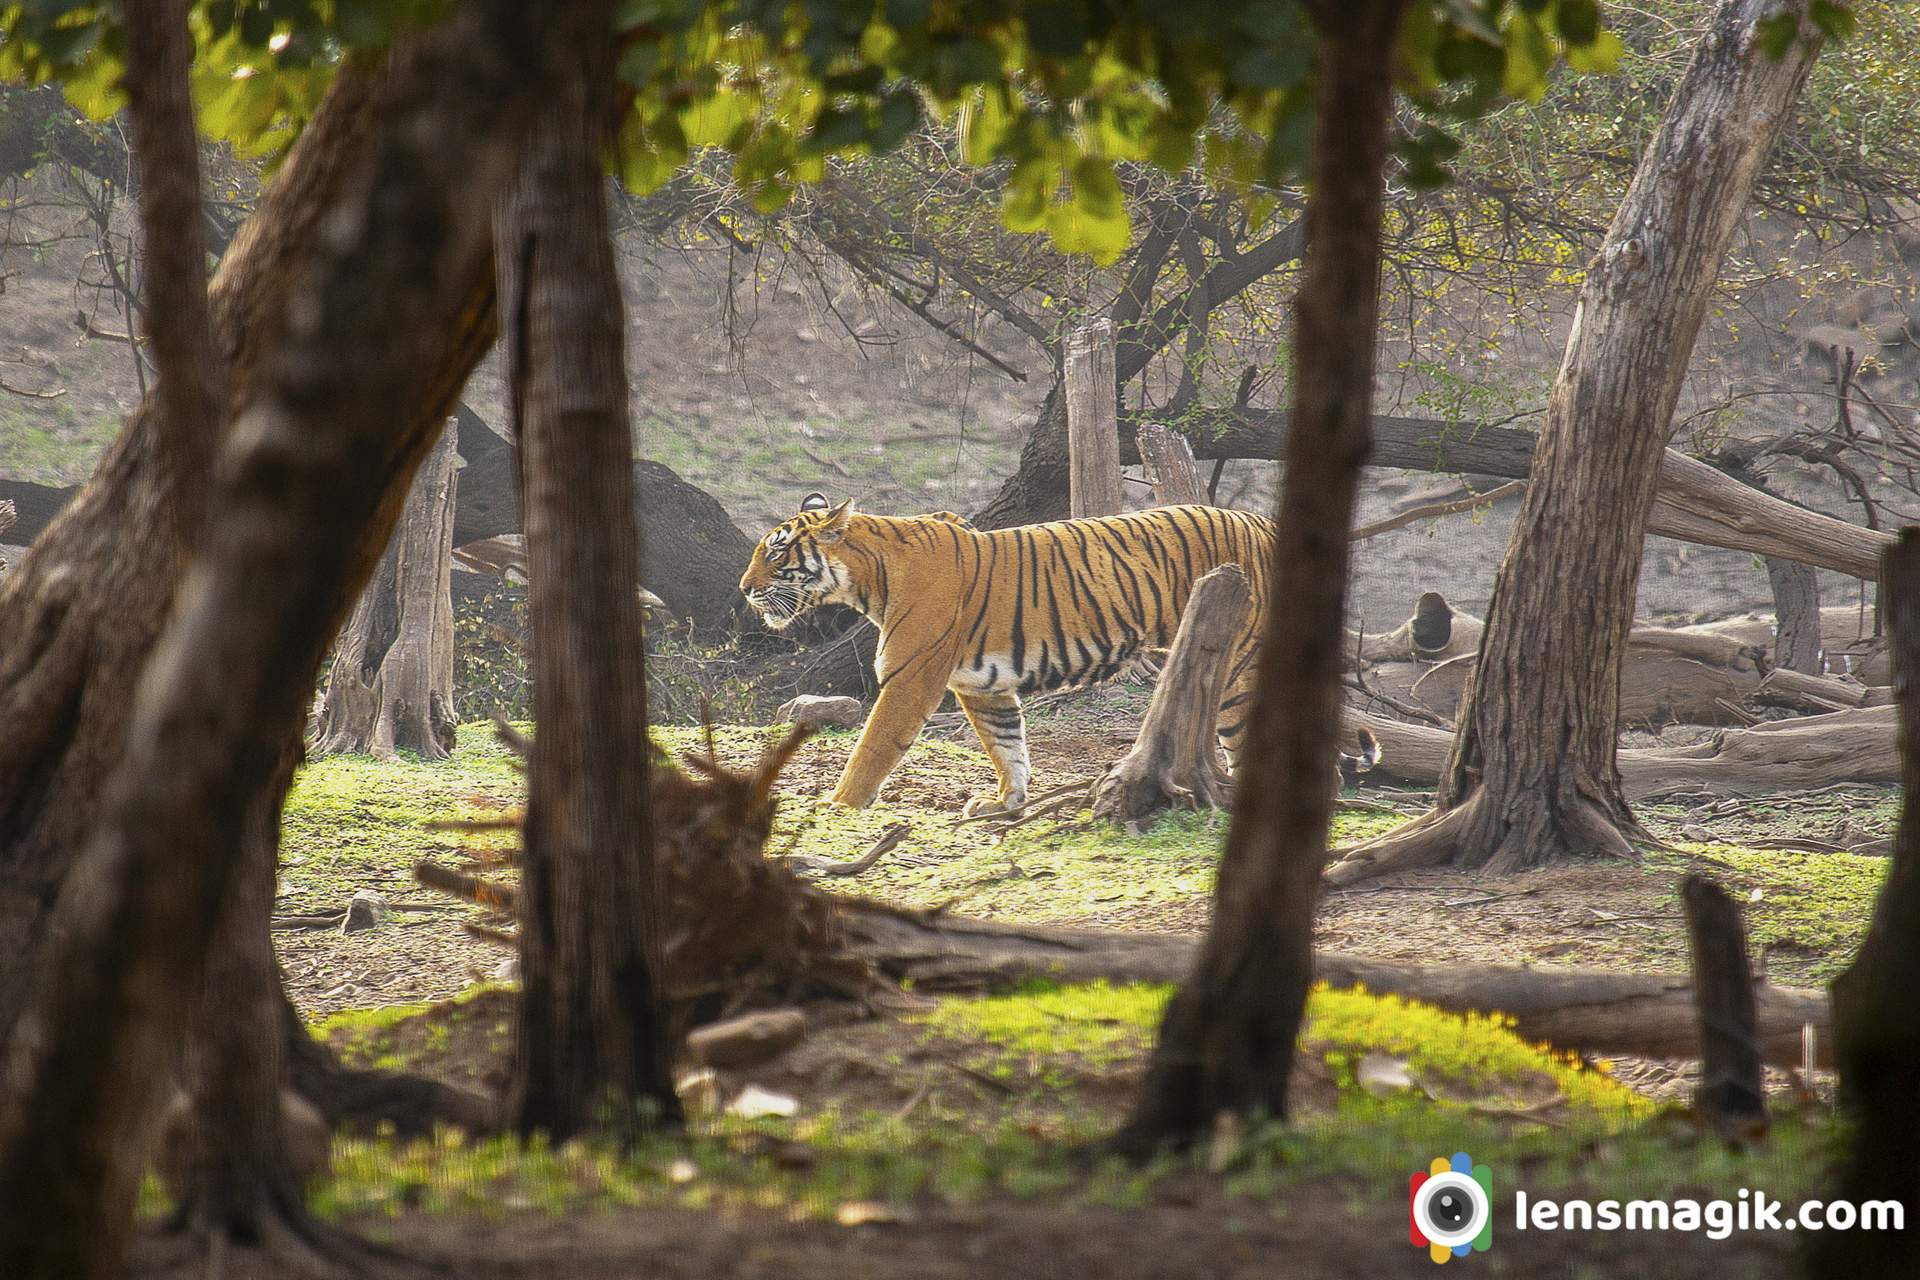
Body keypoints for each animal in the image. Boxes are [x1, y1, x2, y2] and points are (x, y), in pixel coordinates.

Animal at [737, 495, 1382, 817]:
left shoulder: (911, 678)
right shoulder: (983, 687)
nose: (743, 589)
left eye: (777, 553)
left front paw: (839, 803)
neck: (869, 578)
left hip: (1243, 673)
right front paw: (1005, 802)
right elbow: (1008, 748)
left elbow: (872, 748)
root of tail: (1268, 525)